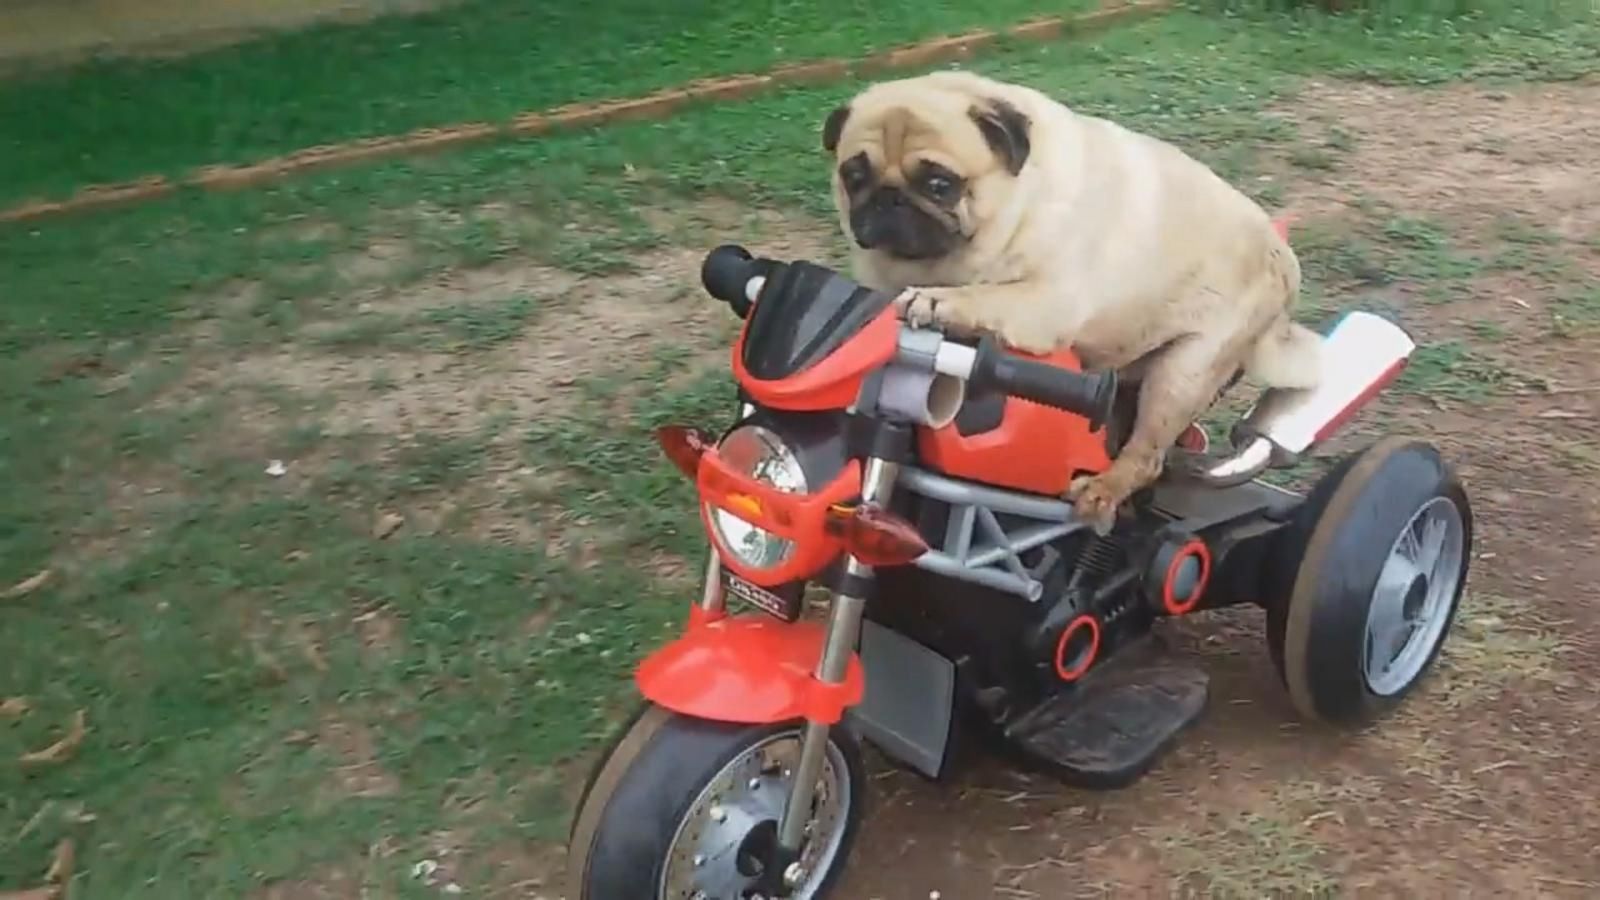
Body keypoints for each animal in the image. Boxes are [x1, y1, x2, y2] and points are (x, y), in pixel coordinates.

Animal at [819, 73, 1318, 528]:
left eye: (940, 184)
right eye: (853, 175)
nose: (888, 199)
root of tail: (1284, 265)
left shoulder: (1043, 303)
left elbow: (980, 295)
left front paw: (935, 301)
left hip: (1181, 374)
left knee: (1146, 454)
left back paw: (1104, 490)